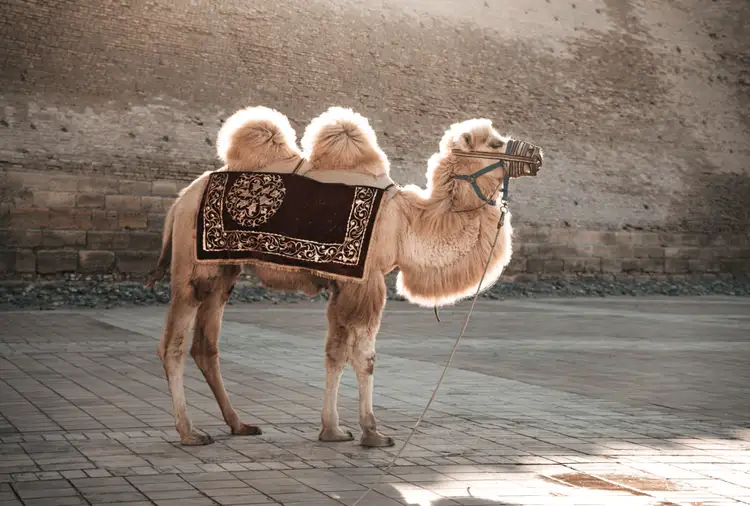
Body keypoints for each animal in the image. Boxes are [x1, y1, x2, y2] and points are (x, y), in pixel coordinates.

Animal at [150, 105, 542, 447]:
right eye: (495, 143)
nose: (537, 155)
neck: (405, 224)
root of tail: (179, 201)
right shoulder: (367, 283)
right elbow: (365, 357)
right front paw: (373, 433)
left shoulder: (344, 286)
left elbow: (335, 353)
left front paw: (332, 430)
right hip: (191, 272)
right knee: (173, 345)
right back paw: (190, 432)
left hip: (223, 273)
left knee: (206, 346)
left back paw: (239, 424)